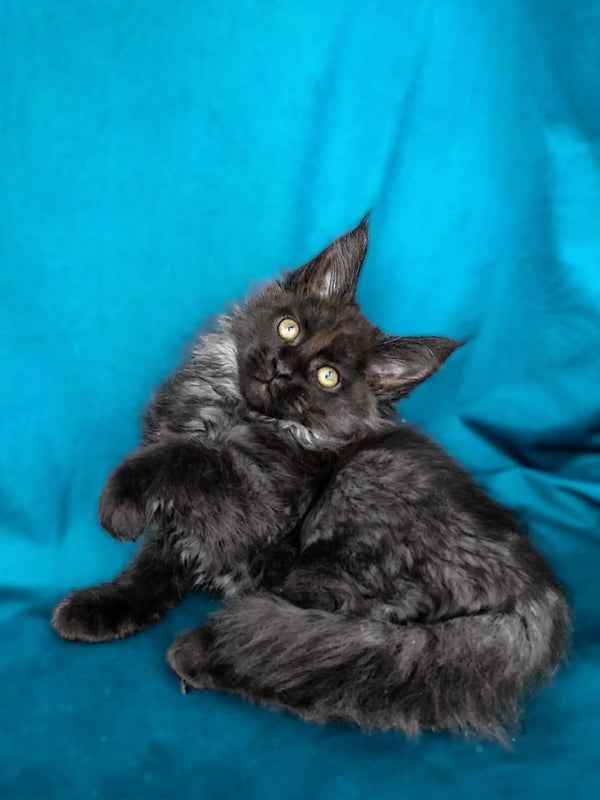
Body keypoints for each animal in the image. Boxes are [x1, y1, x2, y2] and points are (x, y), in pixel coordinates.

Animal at [50, 220, 568, 744]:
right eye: (289, 328)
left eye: (327, 377)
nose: (282, 368)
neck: (229, 411)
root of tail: (539, 596)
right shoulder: (183, 530)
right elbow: (147, 572)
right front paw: (102, 606)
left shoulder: (251, 502)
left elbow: (186, 459)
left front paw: (120, 502)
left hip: (357, 505)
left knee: (326, 653)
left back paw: (204, 653)